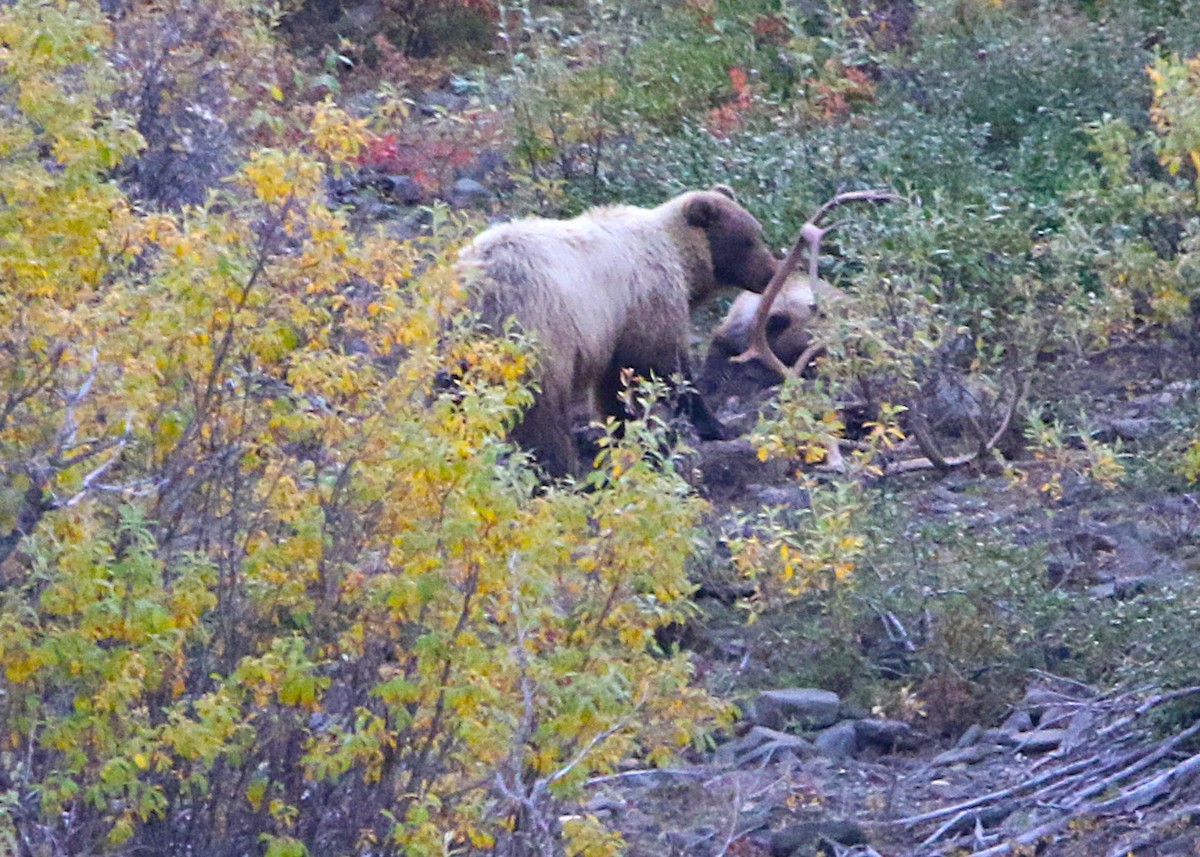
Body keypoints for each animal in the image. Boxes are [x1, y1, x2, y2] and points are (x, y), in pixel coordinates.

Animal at [454, 187, 779, 476]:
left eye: (757, 231)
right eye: (750, 239)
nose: (772, 272)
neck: (679, 257)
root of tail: (479, 285)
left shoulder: (615, 330)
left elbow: (613, 386)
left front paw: (623, 430)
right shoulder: (648, 302)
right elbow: (663, 368)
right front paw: (713, 425)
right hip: (537, 330)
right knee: (541, 411)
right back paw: (559, 469)